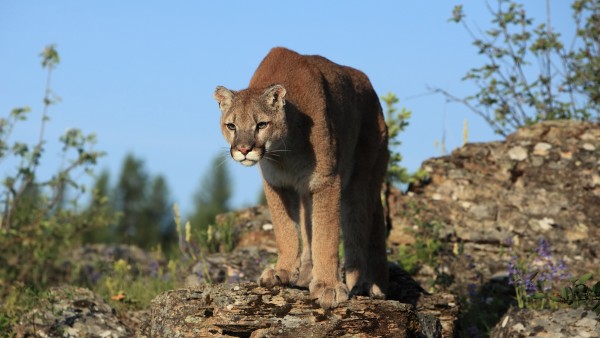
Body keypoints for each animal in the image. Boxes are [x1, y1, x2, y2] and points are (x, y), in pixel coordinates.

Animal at [214, 47, 390, 308]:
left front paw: (328, 287)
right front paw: (282, 271)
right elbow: (285, 230)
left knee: (360, 226)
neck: (284, 151)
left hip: (361, 177)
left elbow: (325, 236)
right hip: (309, 192)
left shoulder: (326, 180)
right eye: (231, 126)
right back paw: (307, 276)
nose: (244, 149)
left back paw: (365, 285)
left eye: (261, 124)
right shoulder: (277, 184)